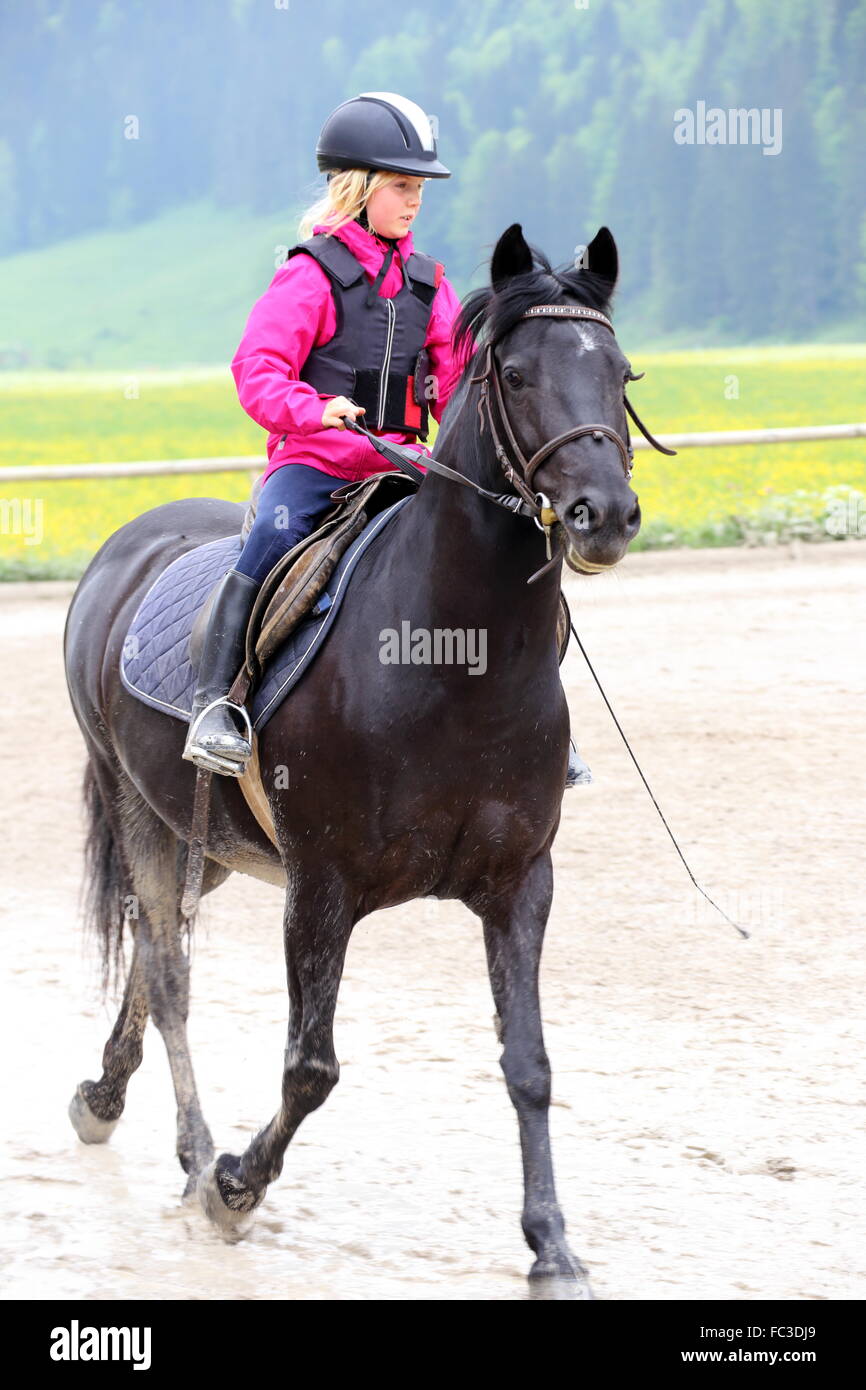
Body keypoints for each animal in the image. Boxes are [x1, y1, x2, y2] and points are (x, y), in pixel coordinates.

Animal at [66, 222, 644, 1284]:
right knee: (167, 973)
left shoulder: (521, 883)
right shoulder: (321, 885)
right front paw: (237, 1187)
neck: (455, 663)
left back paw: (105, 1099)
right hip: (141, 817)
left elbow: (529, 1064)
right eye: (515, 373)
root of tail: (129, 543)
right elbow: (311, 1066)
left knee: (154, 963)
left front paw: (552, 1244)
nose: (606, 514)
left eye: (619, 372)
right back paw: (196, 1153)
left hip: (208, 842)